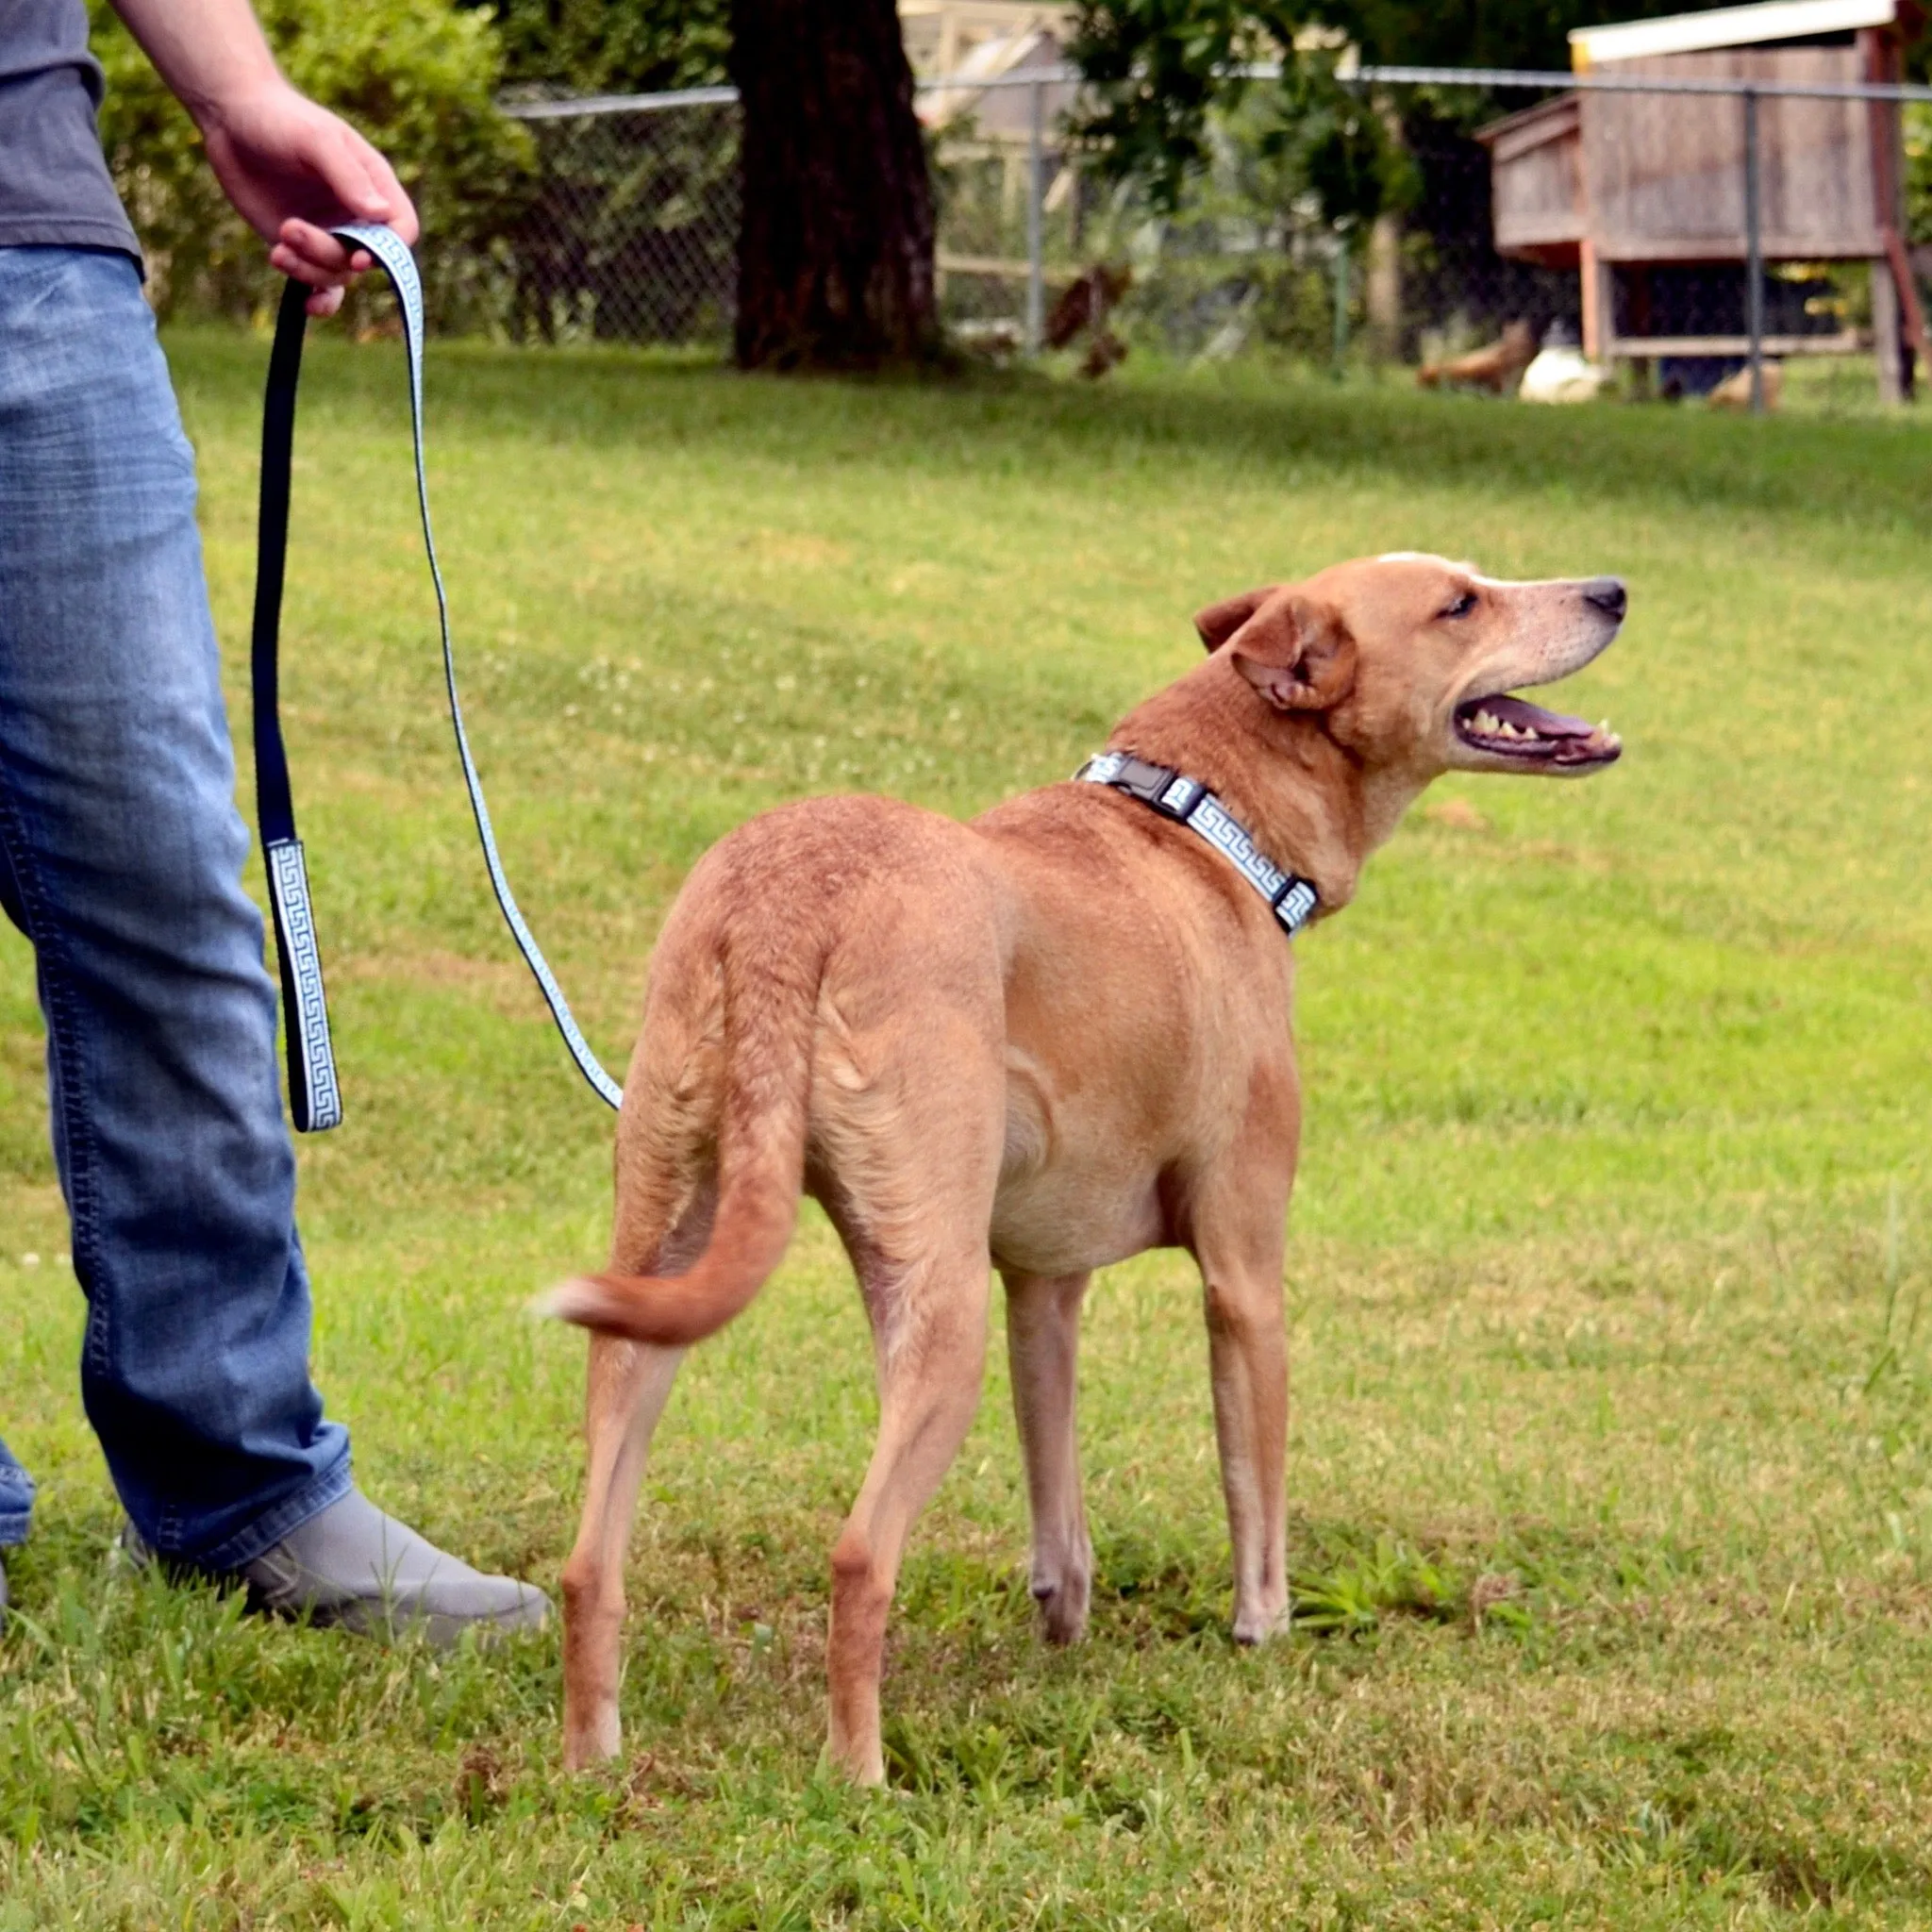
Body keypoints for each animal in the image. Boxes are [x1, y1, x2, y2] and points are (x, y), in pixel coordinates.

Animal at [548, 552, 1630, 1785]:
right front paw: (1260, 1633)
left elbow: (1055, 1496)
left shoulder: (1041, 1284)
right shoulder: (1244, 1276)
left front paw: (1062, 1626)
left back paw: (592, 1764)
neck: (1201, 823)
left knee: (587, 1564)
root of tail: (788, 904)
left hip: (659, 1276)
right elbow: (1254, 1493)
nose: (1611, 588)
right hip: (936, 1314)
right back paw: (860, 1776)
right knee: (859, 1558)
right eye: (1459, 601)